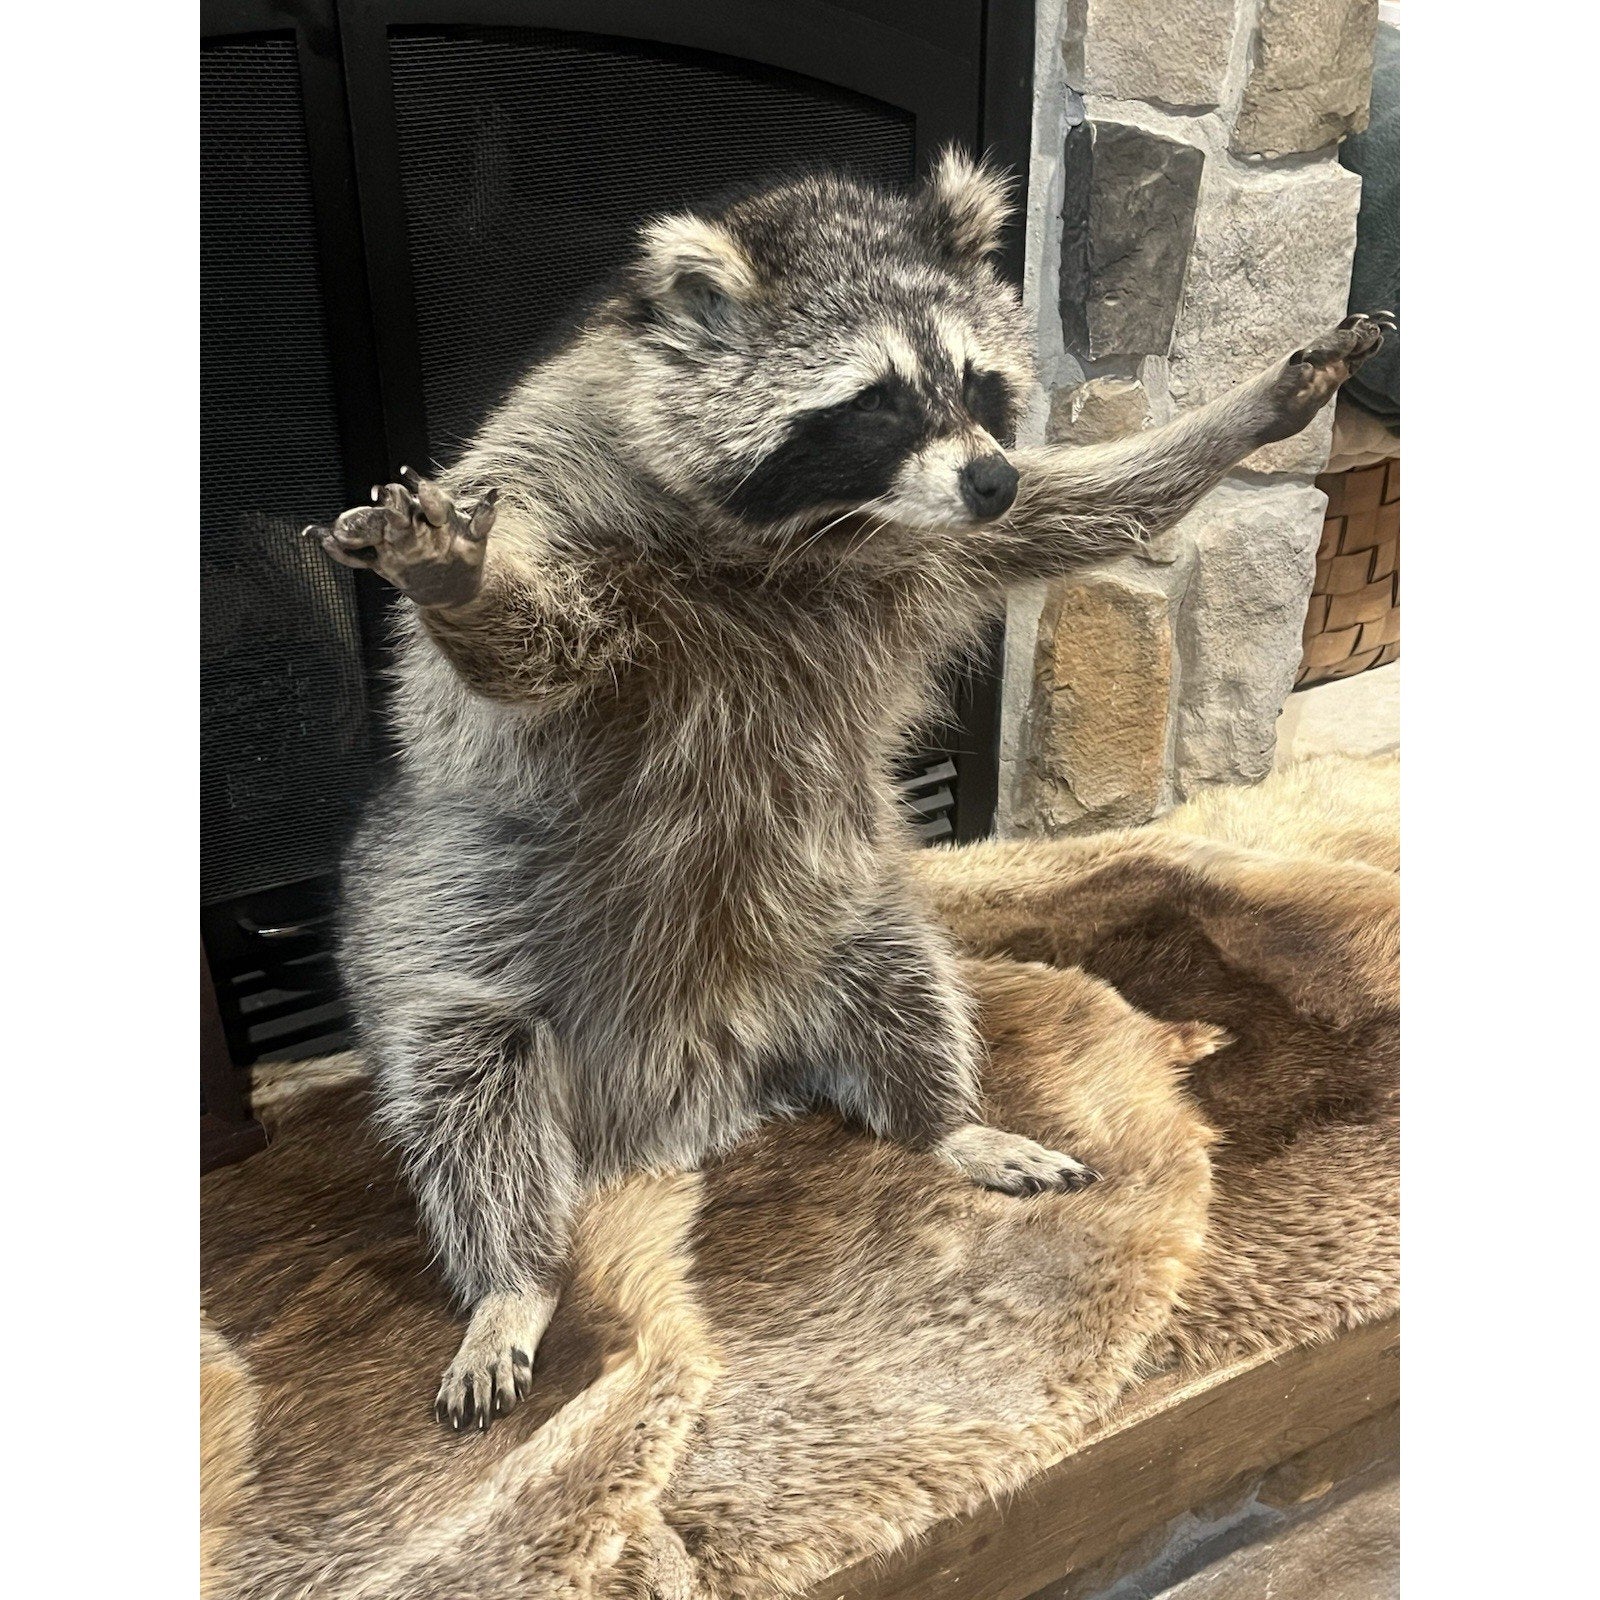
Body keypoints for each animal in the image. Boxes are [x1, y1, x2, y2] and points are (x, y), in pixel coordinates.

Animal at [307, 152, 1389, 1430]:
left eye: (971, 380)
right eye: (874, 401)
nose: (986, 474)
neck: (820, 528)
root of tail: (688, 1099)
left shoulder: (945, 536)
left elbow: (1084, 504)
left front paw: (1256, 408)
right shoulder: (572, 523)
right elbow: (531, 653)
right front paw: (461, 585)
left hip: (839, 906)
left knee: (909, 982)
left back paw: (947, 1121)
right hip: (444, 918)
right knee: (465, 1094)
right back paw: (512, 1279)